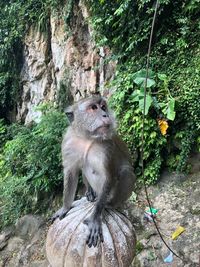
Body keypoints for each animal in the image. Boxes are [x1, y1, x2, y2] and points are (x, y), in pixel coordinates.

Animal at [51, 95, 136, 248]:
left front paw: (95, 217)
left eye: (103, 107)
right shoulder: (68, 142)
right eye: (93, 108)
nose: (105, 115)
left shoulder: (106, 147)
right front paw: (65, 207)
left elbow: (109, 177)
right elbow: (71, 172)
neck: (87, 138)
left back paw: (108, 204)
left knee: (126, 173)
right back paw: (91, 192)